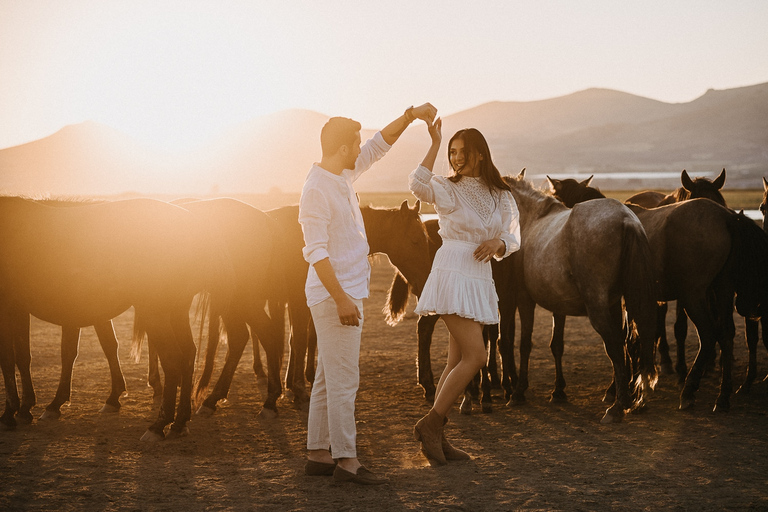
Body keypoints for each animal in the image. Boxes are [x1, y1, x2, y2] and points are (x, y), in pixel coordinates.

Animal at [0, 196, 234, 440]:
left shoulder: (7, 308)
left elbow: (7, 359)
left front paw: (10, 414)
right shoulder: (19, 308)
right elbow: (23, 357)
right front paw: (25, 408)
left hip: (156, 312)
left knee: (172, 360)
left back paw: (159, 425)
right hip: (175, 311)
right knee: (188, 355)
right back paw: (179, 422)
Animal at [548, 177, 768, 412]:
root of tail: (727, 218)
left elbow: (624, 340)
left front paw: (619, 388)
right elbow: (630, 339)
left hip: (694, 296)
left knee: (708, 335)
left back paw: (689, 389)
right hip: (722, 290)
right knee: (726, 334)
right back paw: (723, 396)